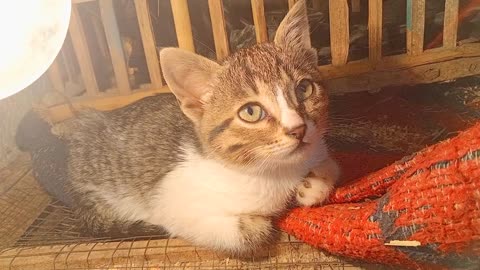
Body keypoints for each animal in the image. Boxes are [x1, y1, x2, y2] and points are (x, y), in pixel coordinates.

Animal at [16, 0, 338, 255]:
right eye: (251, 112)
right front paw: (256, 224)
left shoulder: (319, 149)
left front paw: (313, 185)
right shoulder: (170, 200)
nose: (298, 129)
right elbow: (245, 232)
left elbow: (331, 166)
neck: (273, 171)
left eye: (304, 89)